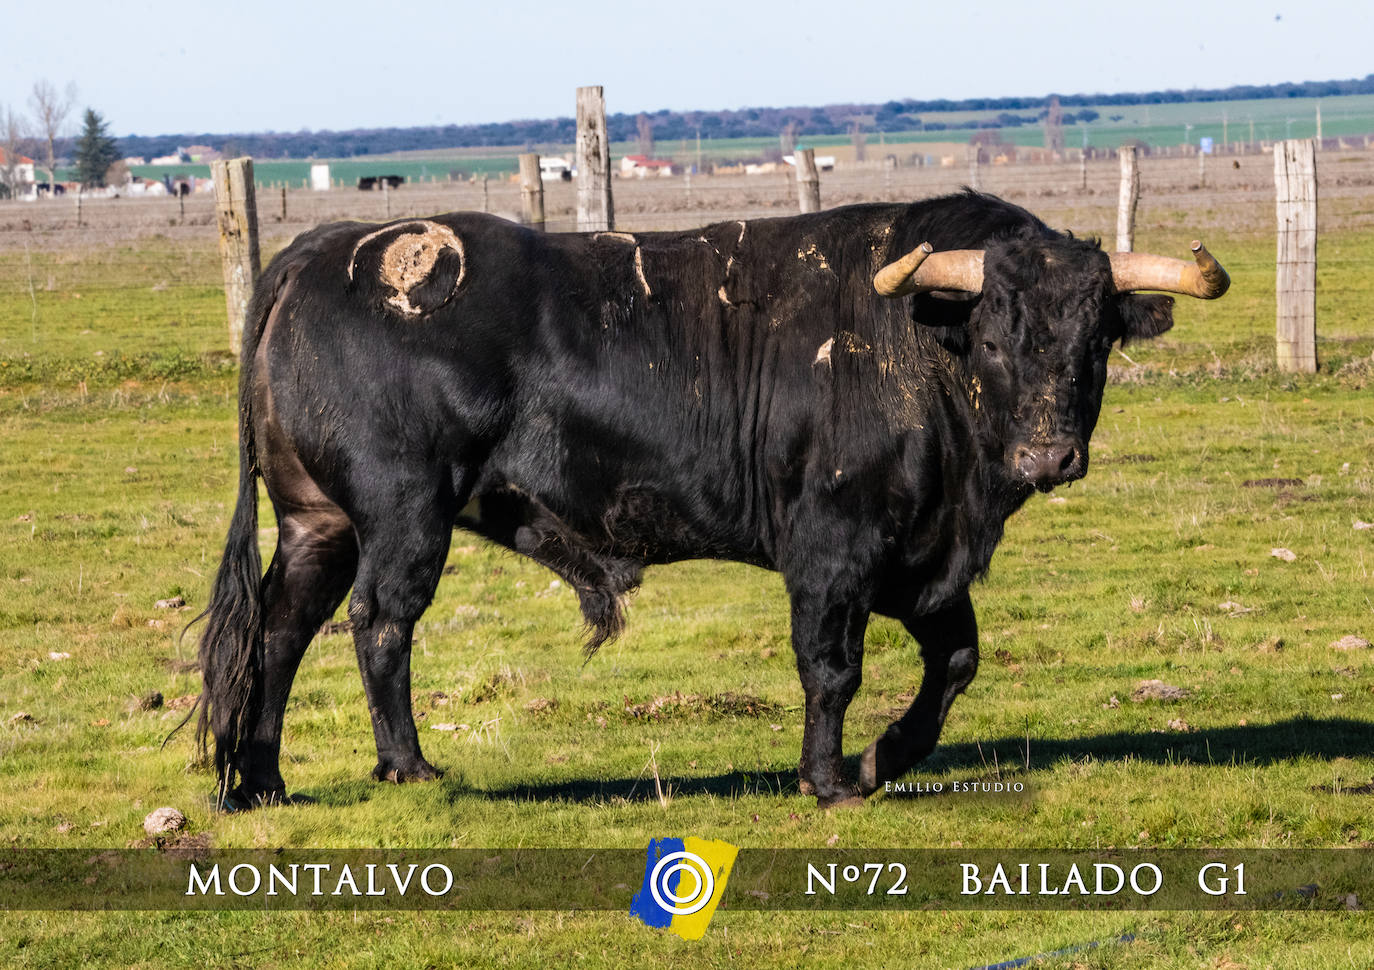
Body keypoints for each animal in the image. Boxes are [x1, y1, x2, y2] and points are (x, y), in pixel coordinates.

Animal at [196, 190, 1236, 807]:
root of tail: (327, 250)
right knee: (379, 622)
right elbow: (831, 668)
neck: (915, 347)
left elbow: (956, 663)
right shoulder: (833, 552)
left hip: (319, 524)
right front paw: (828, 777)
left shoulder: (922, 565)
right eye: (992, 338)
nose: (1048, 453)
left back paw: (261, 779)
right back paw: (408, 766)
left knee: (279, 632)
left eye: (1096, 342)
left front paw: (883, 758)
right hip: (402, 516)